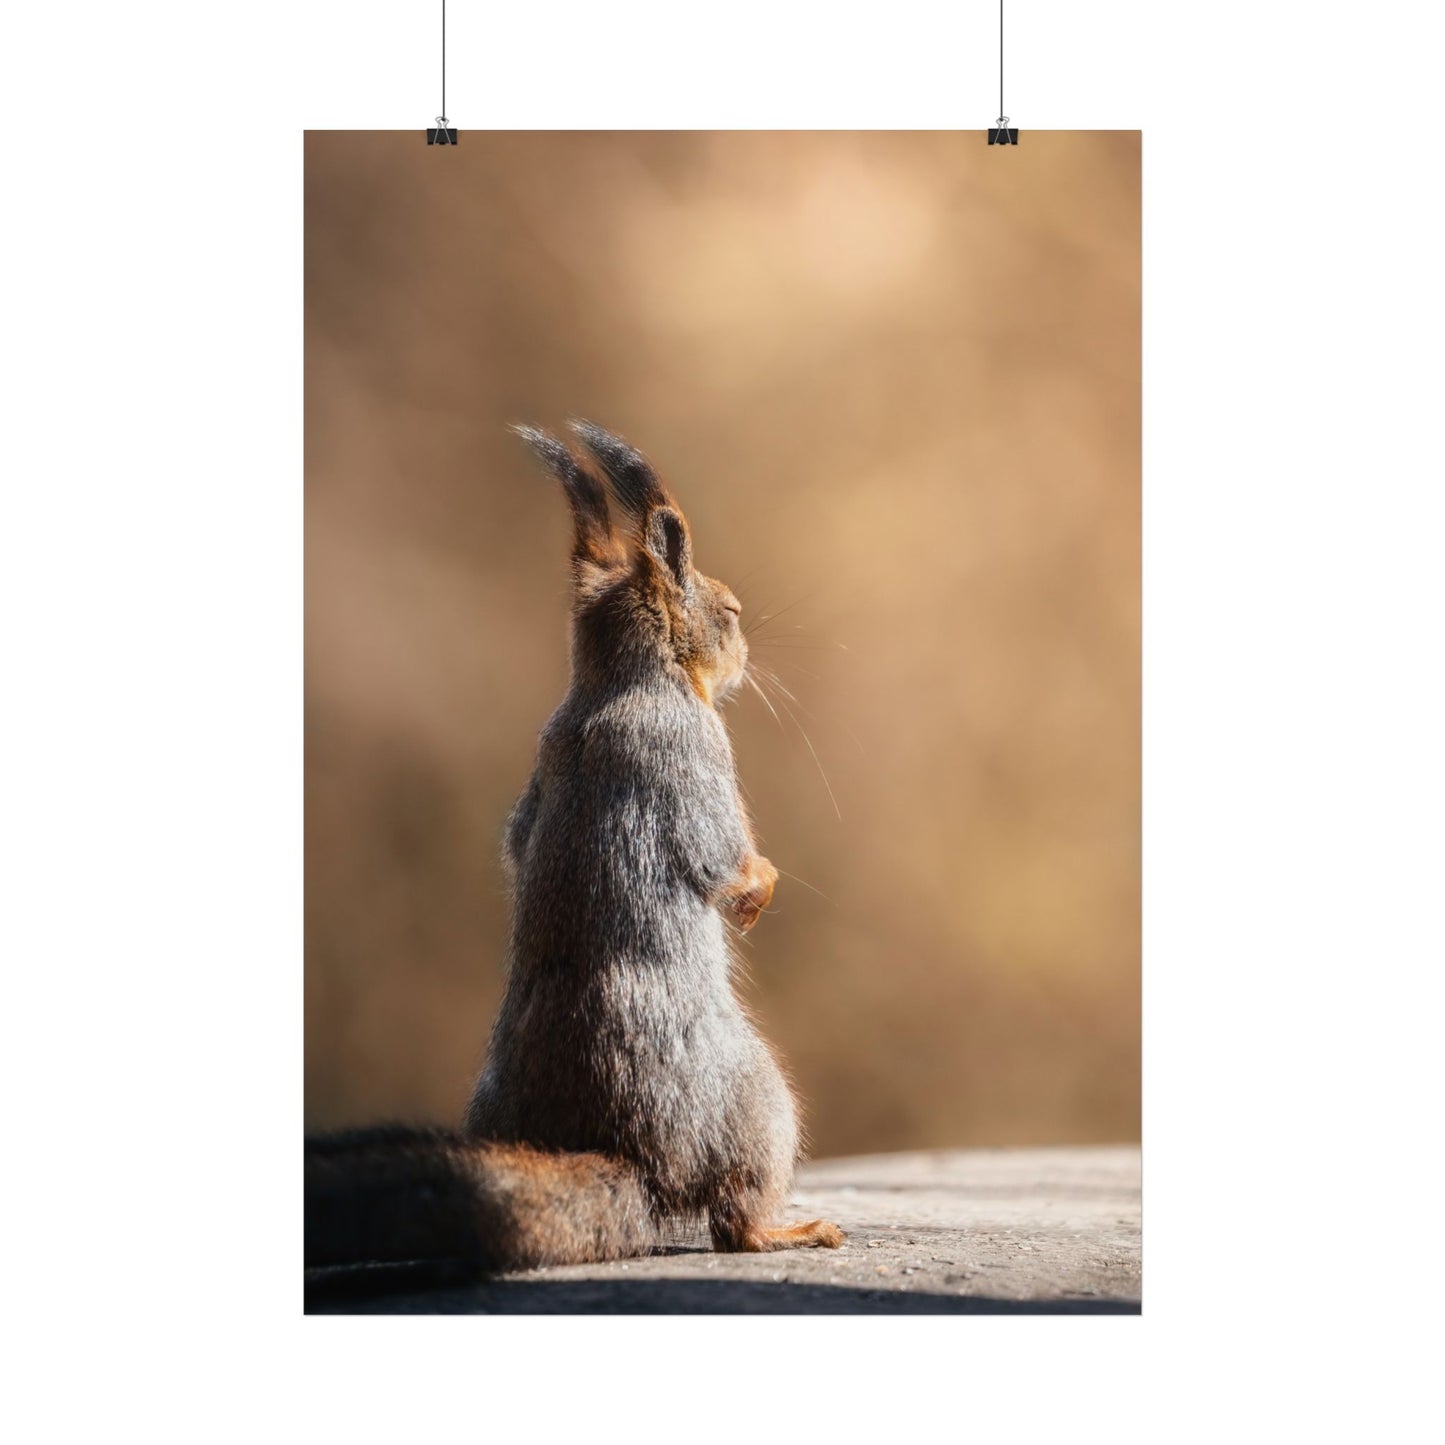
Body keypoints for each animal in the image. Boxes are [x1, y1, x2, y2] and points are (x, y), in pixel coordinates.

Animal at [305, 422, 844, 1277]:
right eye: (727, 609)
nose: (747, 655)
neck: (612, 684)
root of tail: (616, 1148)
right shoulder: (693, 754)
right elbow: (720, 857)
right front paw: (758, 888)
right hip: (757, 1100)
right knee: (736, 1219)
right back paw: (791, 1228)